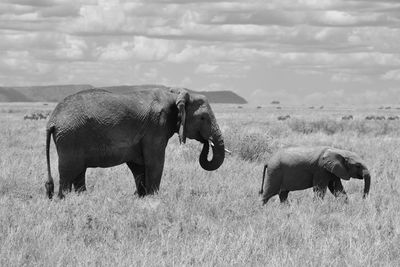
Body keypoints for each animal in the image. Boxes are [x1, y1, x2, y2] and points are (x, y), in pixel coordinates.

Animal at [45, 87, 225, 199]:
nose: (207, 142)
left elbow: (138, 165)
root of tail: (52, 120)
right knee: (69, 172)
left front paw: (140, 196)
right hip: (70, 137)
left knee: (78, 172)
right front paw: (152, 197)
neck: (174, 94)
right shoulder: (156, 127)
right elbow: (155, 162)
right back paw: (64, 199)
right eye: (203, 118)